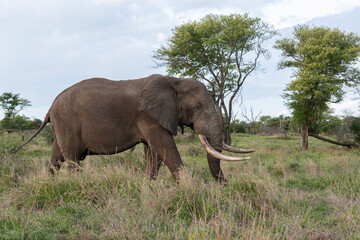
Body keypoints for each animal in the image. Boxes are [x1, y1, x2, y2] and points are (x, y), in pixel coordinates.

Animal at [11, 74, 253, 183]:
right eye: (198, 107)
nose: (225, 186)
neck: (174, 80)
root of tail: (50, 107)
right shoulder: (149, 117)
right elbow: (166, 149)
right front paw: (189, 189)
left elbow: (153, 153)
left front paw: (148, 187)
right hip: (66, 121)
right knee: (71, 157)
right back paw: (75, 185)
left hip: (61, 124)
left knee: (57, 157)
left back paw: (49, 182)